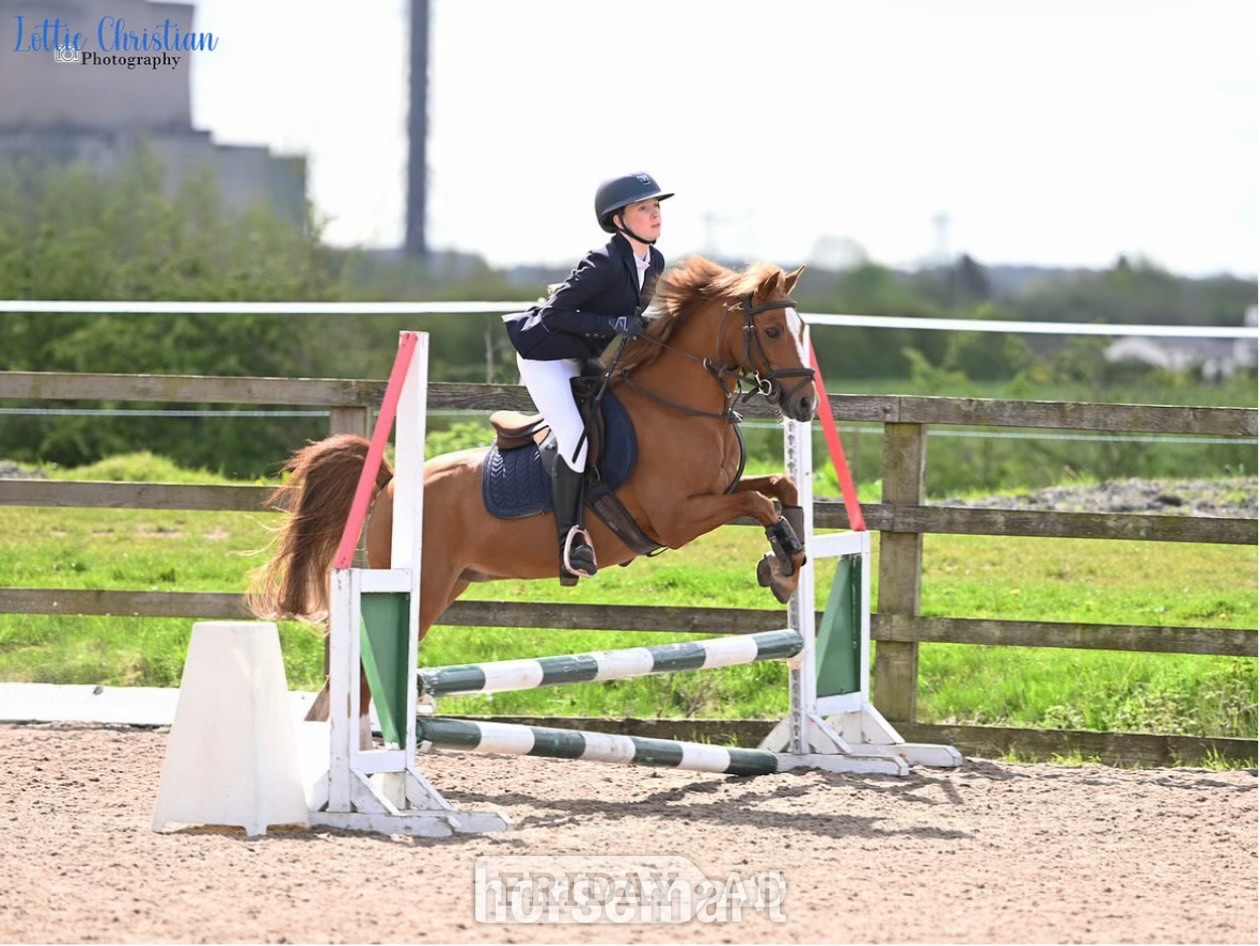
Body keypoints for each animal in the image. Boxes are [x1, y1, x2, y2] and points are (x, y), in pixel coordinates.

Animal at [248, 255, 819, 712]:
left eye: (802, 329)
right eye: (772, 332)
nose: (806, 404)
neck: (681, 407)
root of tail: (390, 483)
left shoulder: (716, 494)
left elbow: (781, 489)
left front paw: (788, 561)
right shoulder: (677, 517)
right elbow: (759, 503)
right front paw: (780, 568)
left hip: (451, 582)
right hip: (423, 586)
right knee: (359, 685)